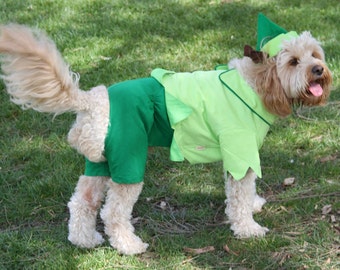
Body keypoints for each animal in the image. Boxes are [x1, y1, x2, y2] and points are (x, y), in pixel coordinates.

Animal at [0, 14, 330, 255]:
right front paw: (248, 228)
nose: (319, 70)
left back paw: (84, 240)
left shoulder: (238, 155)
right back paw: (130, 246)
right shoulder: (240, 150)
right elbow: (239, 195)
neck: (257, 82)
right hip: (128, 161)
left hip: (100, 162)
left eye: (315, 55)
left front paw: (254, 204)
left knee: (82, 202)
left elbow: (243, 192)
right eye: (293, 62)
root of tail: (92, 99)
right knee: (113, 213)